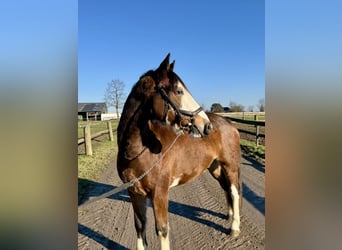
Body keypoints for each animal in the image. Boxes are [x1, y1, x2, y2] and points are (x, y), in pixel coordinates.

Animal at [117, 53, 240, 249]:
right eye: (179, 91)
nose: (206, 126)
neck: (139, 150)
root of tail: (229, 124)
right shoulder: (133, 192)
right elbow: (140, 226)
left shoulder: (159, 194)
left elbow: (162, 231)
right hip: (215, 167)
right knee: (226, 188)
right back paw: (229, 216)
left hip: (230, 166)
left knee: (235, 192)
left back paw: (235, 228)